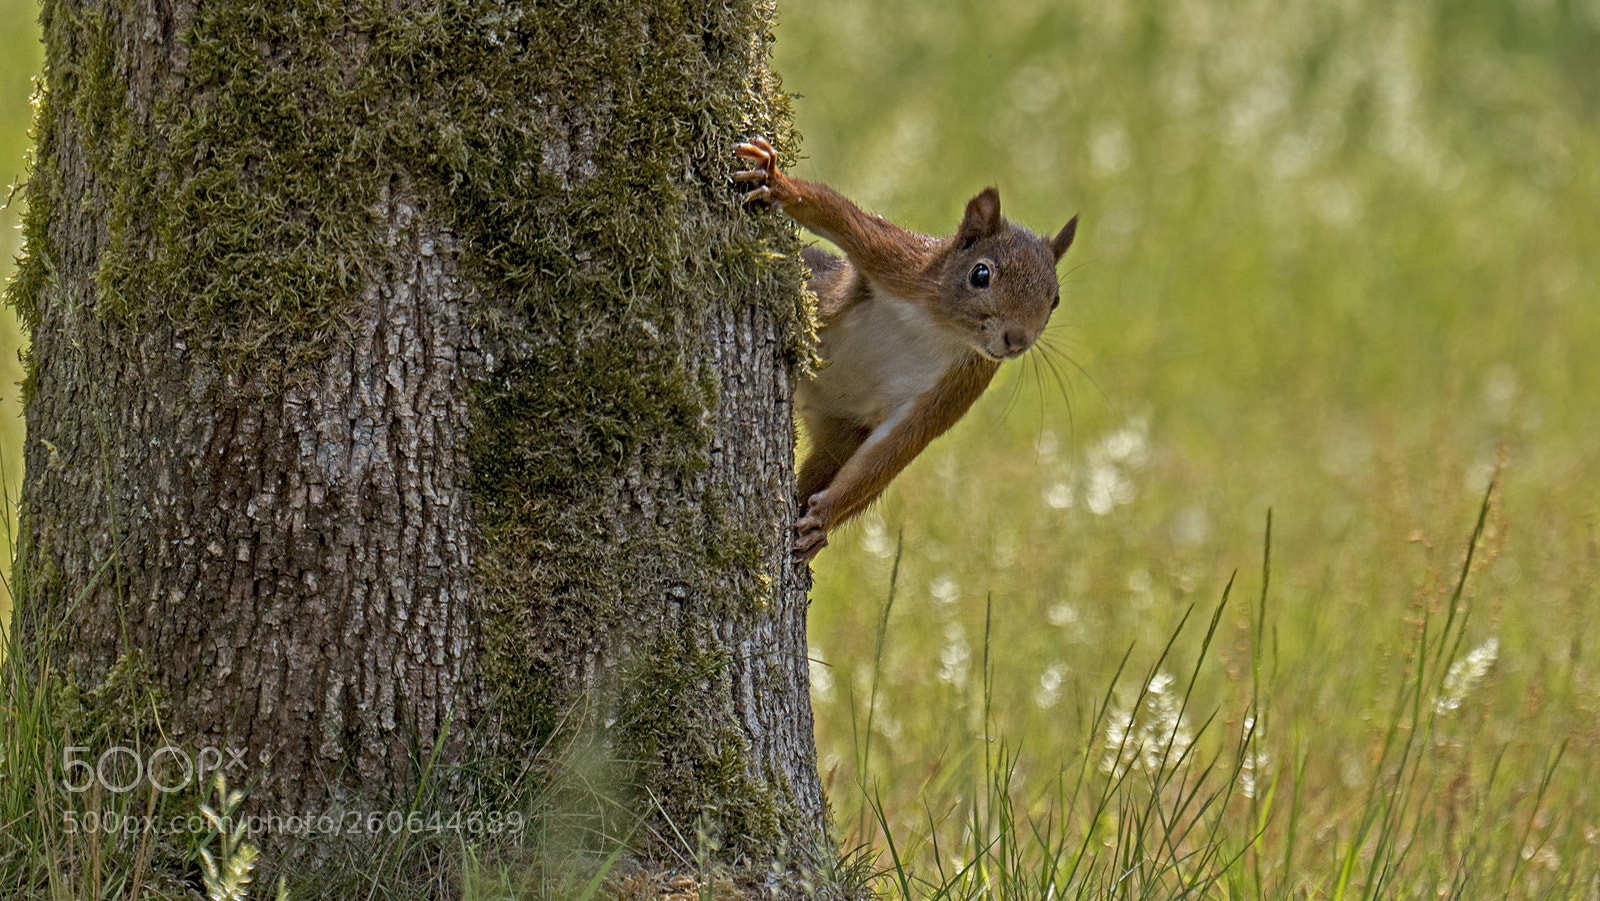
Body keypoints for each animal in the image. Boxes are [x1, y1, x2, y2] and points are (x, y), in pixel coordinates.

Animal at [735, 137, 1079, 562]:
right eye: (980, 274)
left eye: (1056, 300)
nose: (1017, 340)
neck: (940, 329)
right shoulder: (902, 261)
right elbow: (840, 216)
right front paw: (775, 181)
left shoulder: (960, 383)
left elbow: (895, 450)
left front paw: (822, 520)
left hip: (842, 431)